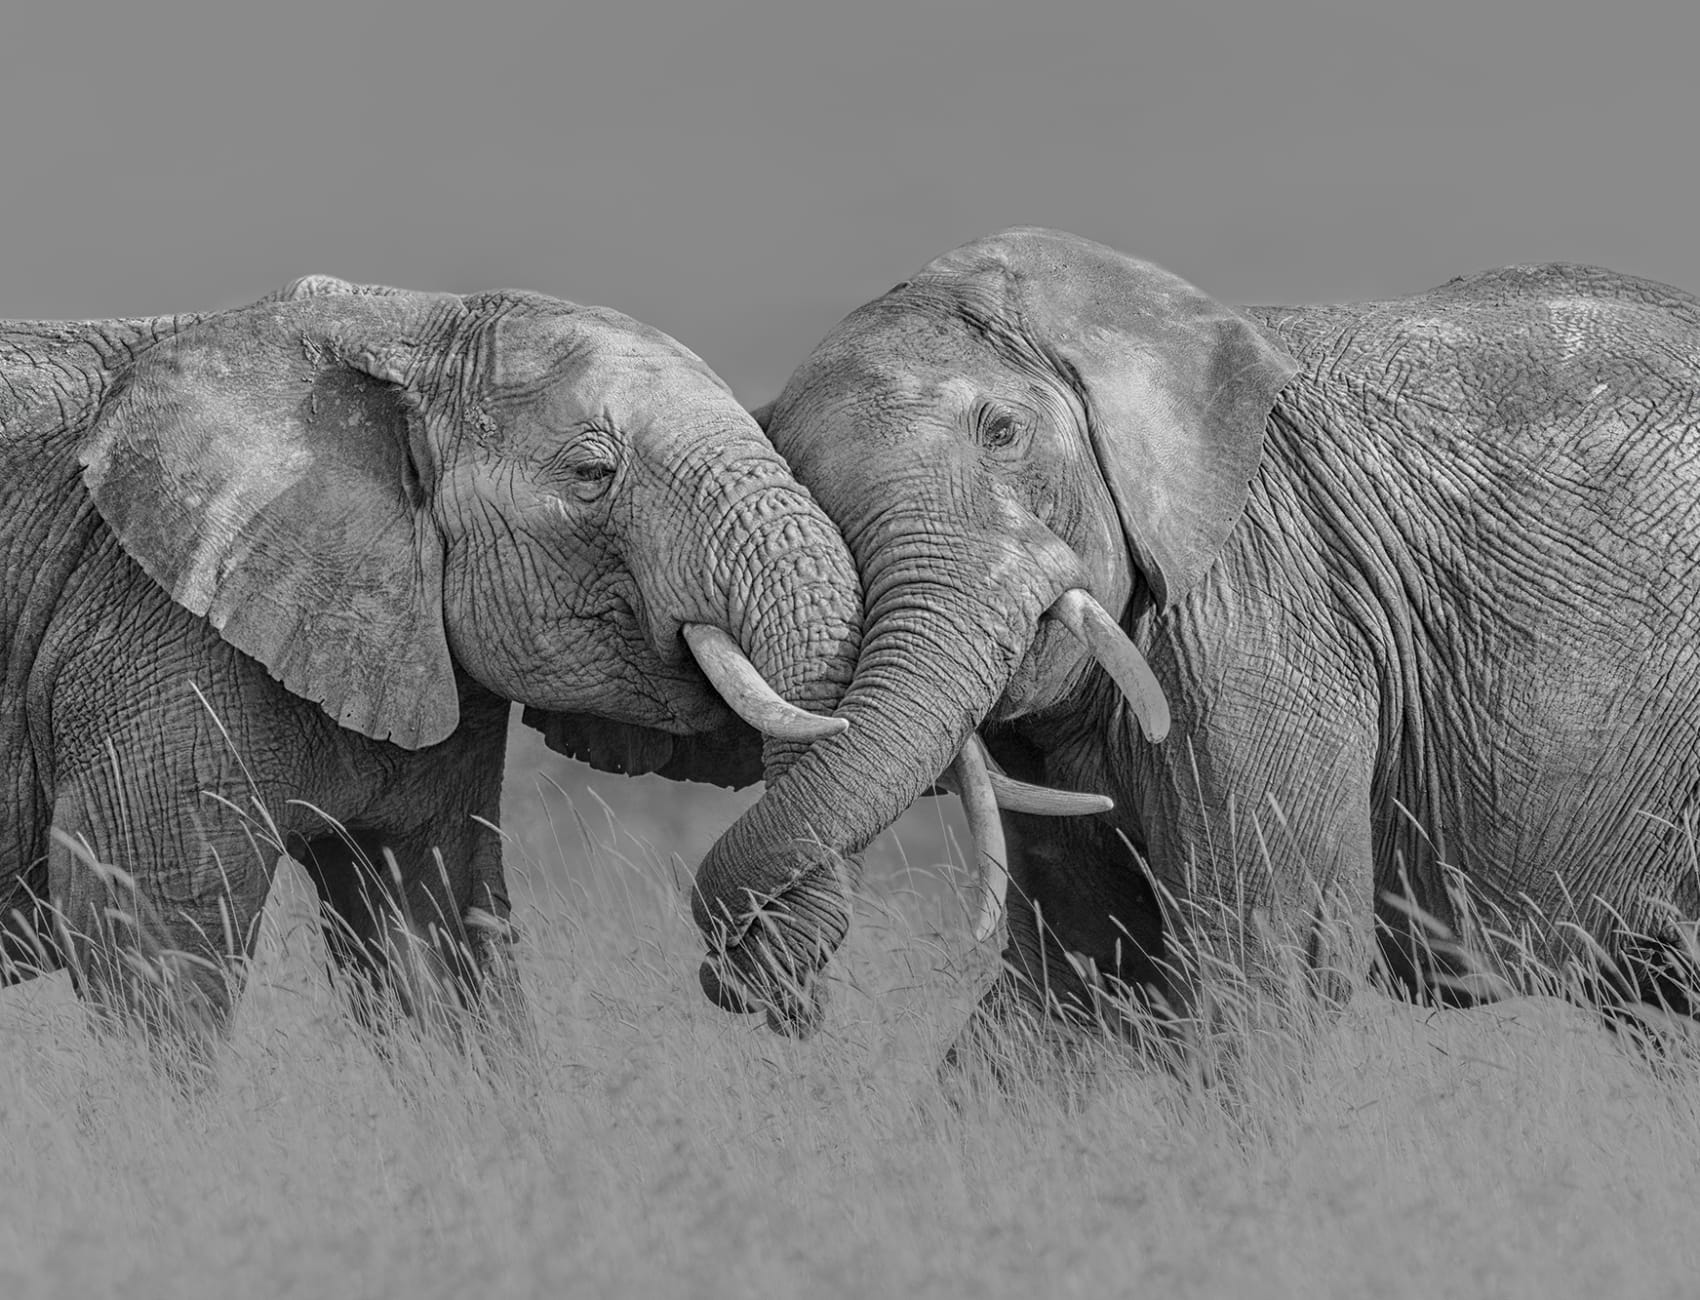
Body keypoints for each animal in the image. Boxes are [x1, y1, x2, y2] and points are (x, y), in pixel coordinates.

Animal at [0, 273, 862, 1057]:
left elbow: (433, 935)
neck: (398, 326)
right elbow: (150, 934)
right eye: (593, 475)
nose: (770, 995)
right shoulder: (153, 629)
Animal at [689, 225, 1700, 1059]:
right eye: (793, 473)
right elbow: (1078, 973)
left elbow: (1262, 960)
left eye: (1003, 432)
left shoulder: (1264, 605)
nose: (771, 991)